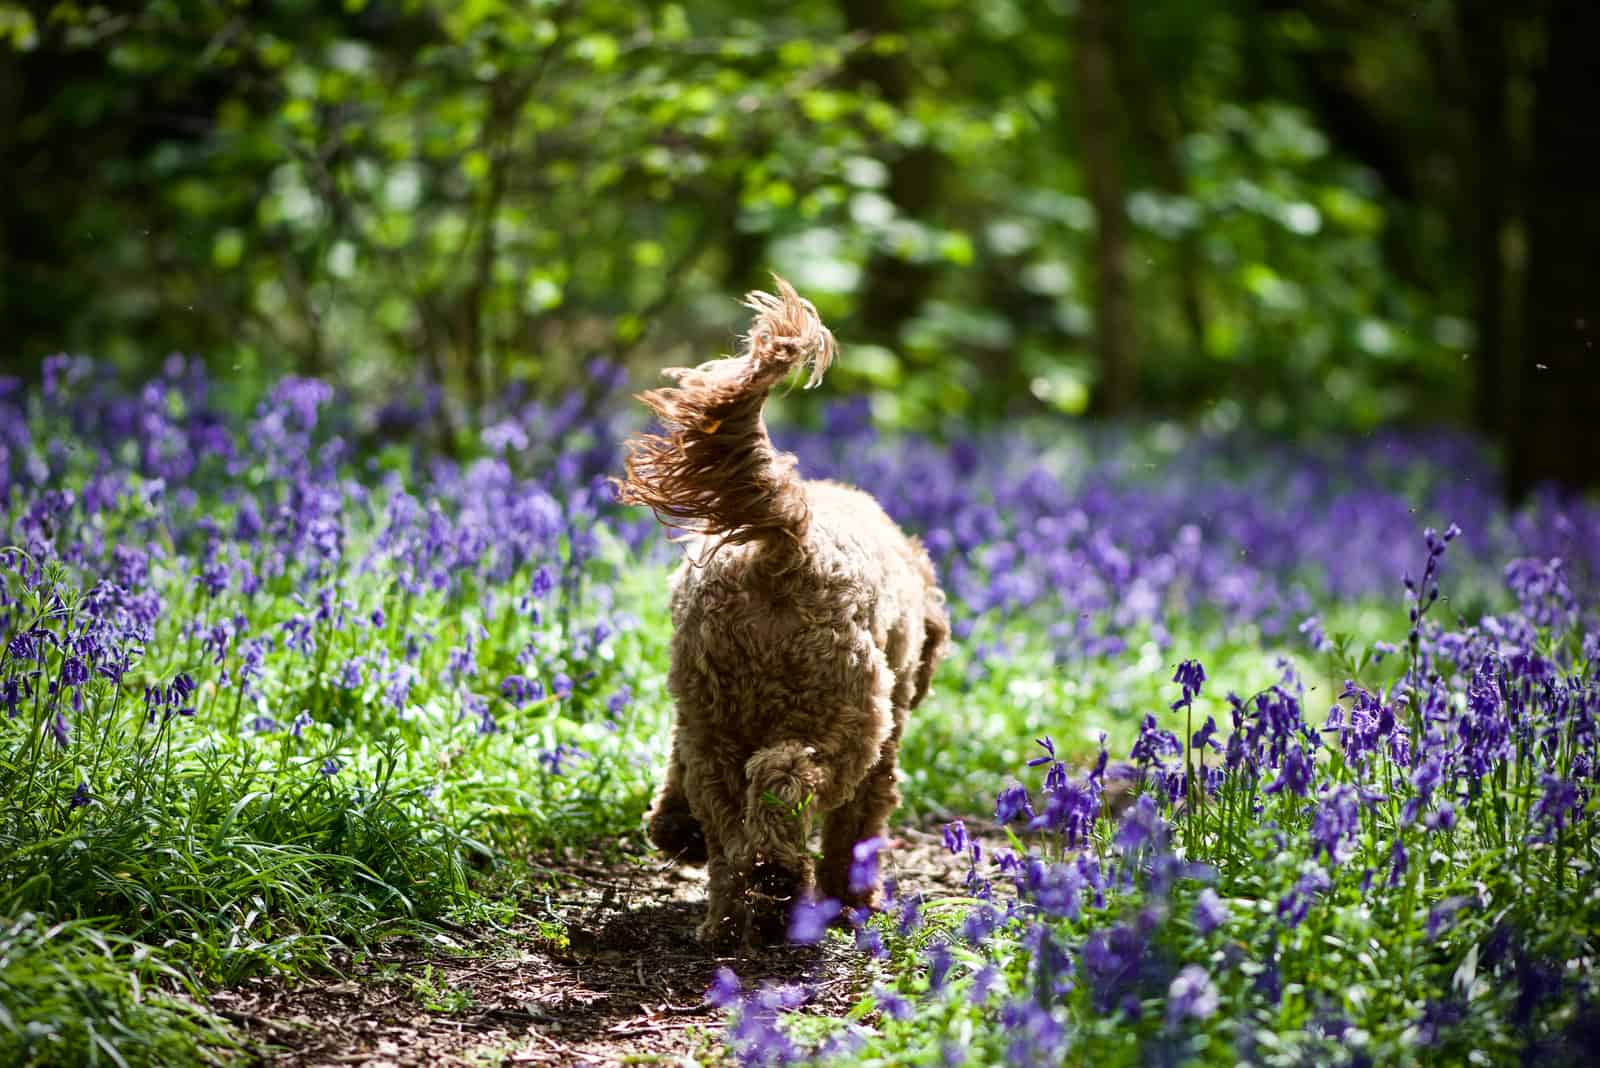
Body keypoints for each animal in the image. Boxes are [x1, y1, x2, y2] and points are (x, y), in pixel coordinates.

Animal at [614, 279, 947, 946]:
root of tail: (785, 547)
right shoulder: (883, 752)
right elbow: (856, 833)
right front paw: (853, 898)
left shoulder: (689, 731)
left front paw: (672, 828)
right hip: (846, 722)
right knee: (787, 779)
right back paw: (780, 882)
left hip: (713, 723)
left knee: (728, 835)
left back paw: (725, 917)